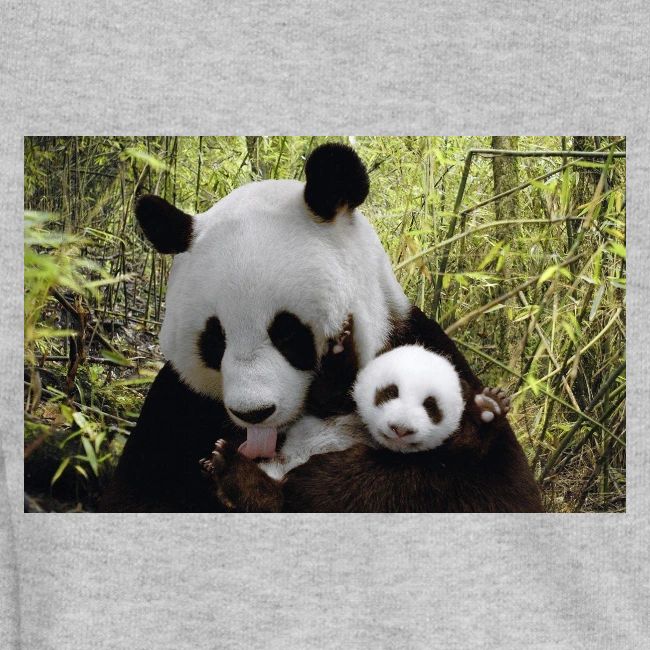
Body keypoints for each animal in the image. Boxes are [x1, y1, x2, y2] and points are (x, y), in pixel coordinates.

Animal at [100, 143, 541, 513]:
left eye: (287, 333)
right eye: (215, 340)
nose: (254, 413)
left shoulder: (421, 346)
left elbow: (489, 489)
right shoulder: (178, 405)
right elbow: (137, 493)